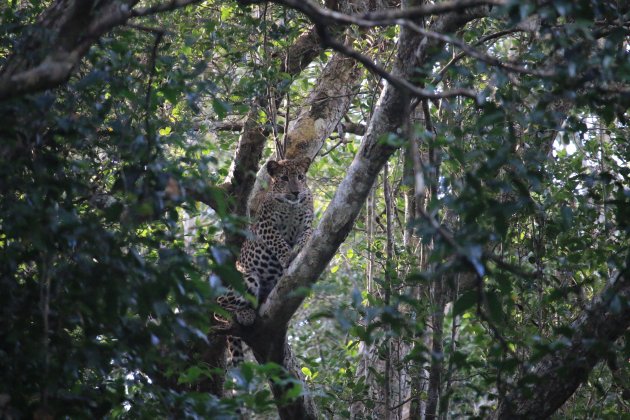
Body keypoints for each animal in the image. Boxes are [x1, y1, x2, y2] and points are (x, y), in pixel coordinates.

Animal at [218, 158, 314, 364]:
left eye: (300, 177)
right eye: (284, 178)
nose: (295, 192)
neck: (292, 206)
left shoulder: (307, 224)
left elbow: (306, 236)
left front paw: (299, 249)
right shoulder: (266, 225)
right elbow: (278, 243)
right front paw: (287, 257)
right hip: (247, 278)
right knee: (219, 306)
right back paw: (244, 313)